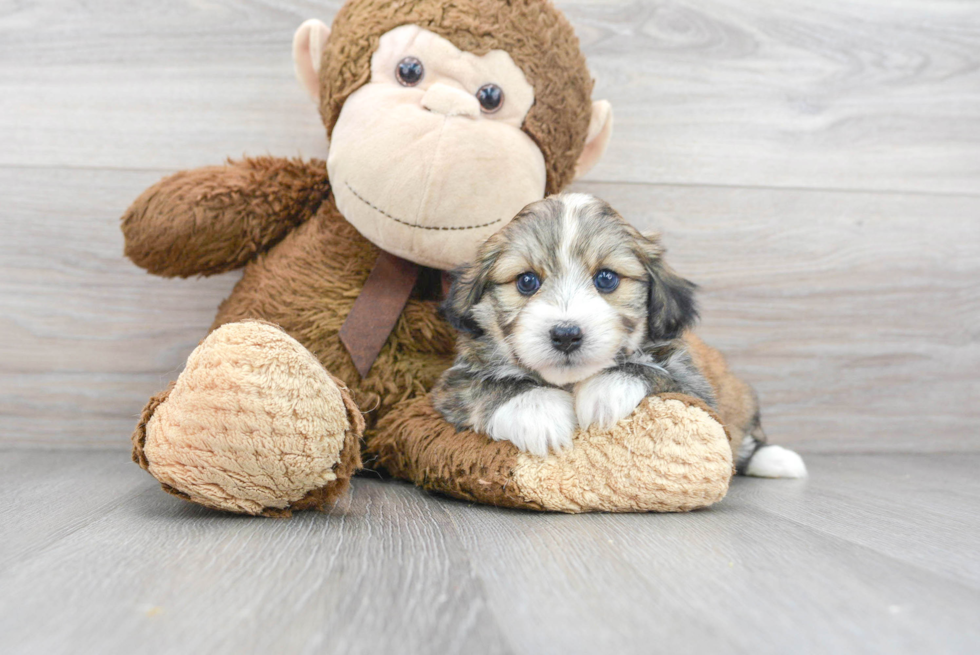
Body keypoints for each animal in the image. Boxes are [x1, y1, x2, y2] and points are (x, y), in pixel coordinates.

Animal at [432, 193, 808, 476]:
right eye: (526, 281)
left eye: (606, 279)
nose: (566, 334)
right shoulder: (451, 386)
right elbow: (485, 386)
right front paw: (536, 410)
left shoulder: (695, 388)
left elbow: (656, 372)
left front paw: (606, 388)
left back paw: (778, 460)